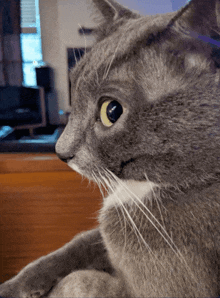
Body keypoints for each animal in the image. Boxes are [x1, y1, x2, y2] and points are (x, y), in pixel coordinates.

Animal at [1, 0, 220, 296]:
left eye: (111, 111)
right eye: (74, 89)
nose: (59, 151)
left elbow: (83, 280)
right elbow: (80, 241)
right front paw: (14, 286)